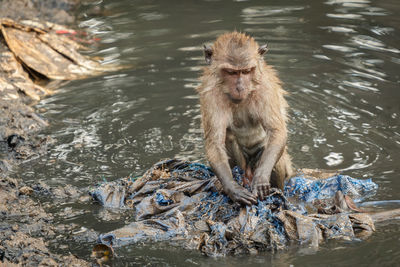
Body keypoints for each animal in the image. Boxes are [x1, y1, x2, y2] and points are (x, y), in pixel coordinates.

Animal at [197, 31, 294, 207]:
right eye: (231, 72)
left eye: (247, 71)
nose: (240, 87)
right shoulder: (211, 94)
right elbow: (214, 141)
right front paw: (233, 189)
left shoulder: (265, 89)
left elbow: (277, 131)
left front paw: (261, 179)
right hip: (242, 166)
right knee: (228, 137)